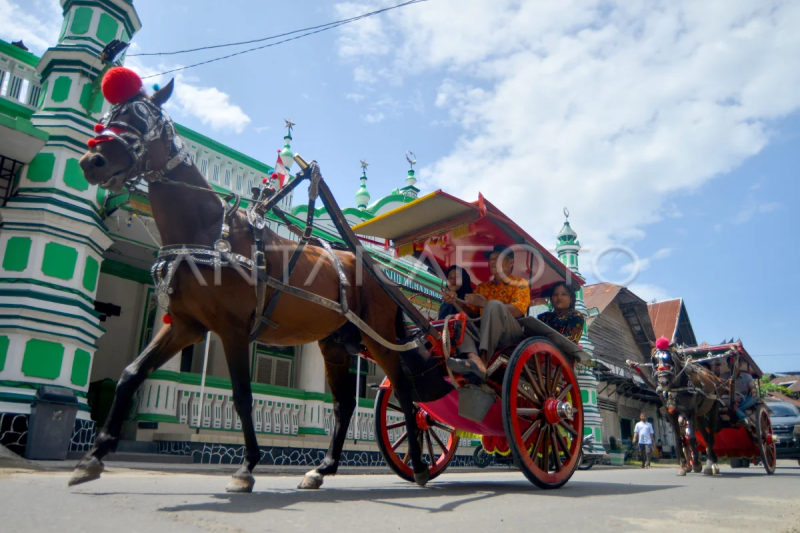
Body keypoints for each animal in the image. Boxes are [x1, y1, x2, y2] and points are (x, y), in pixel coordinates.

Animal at [71, 79, 432, 490]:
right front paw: (93, 456)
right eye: (107, 118)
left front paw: (246, 466)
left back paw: (418, 465)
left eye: (142, 118)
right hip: (336, 342)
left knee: (404, 393)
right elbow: (131, 374)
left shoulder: (233, 329)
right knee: (344, 403)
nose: (92, 161)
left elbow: (242, 394)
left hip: (380, 335)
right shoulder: (185, 325)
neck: (209, 233)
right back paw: (323, 467)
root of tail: (378, 272)